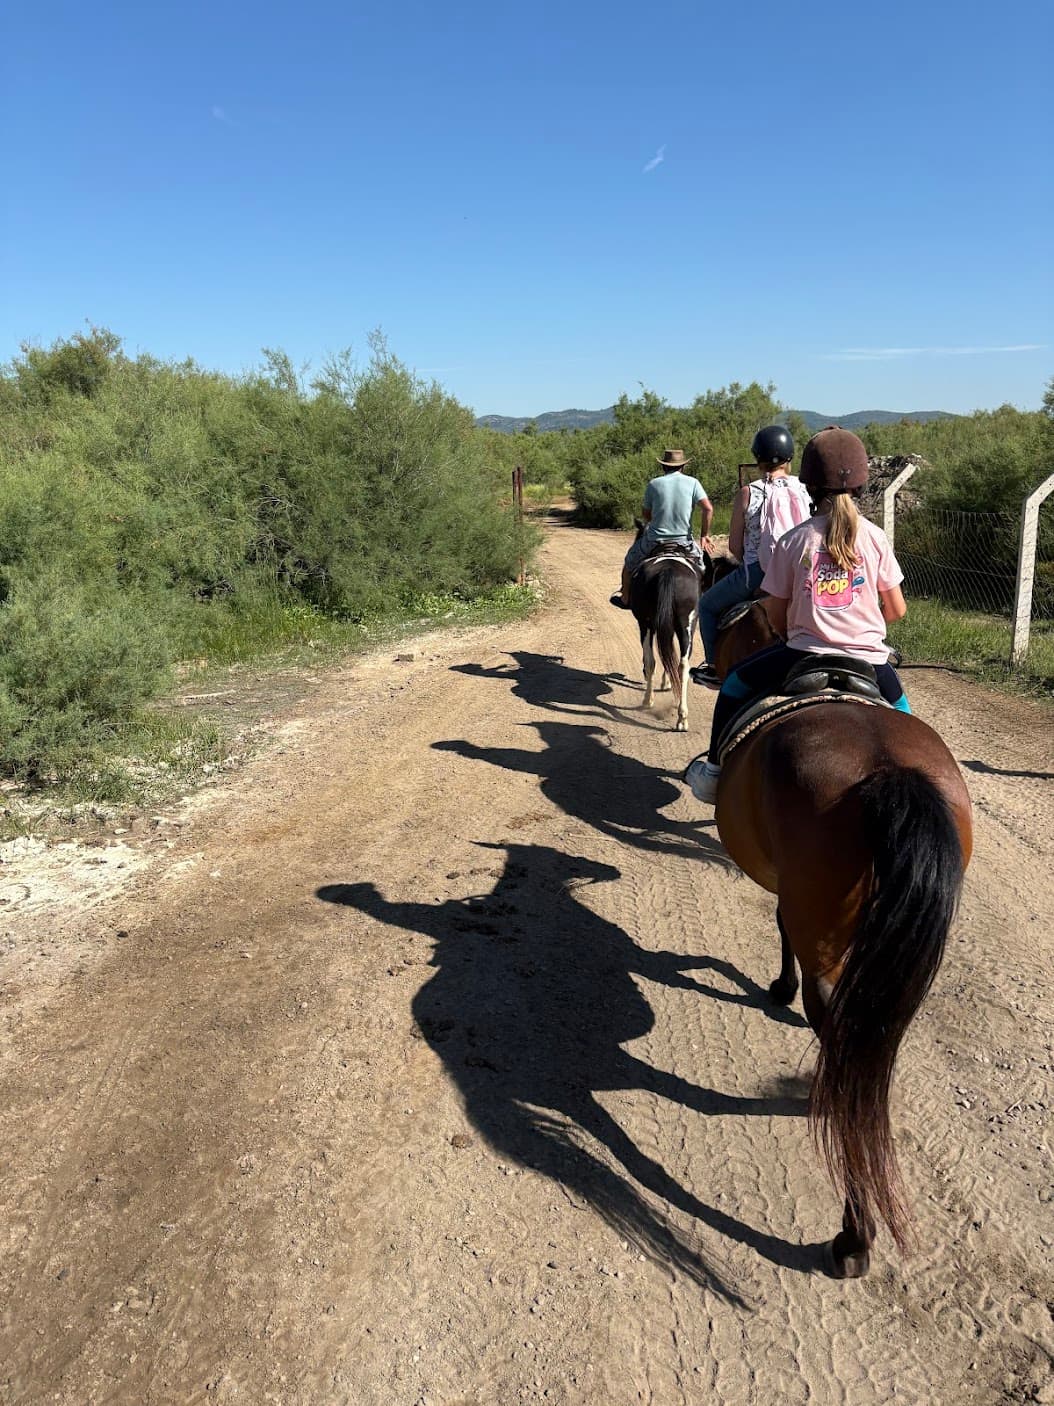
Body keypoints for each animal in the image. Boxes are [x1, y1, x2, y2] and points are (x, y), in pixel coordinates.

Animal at [628, 524, 710, 732]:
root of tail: (668, 571)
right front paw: (668, 684)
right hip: (686, 625)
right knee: (682, 664)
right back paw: (681, 716)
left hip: (647, 623)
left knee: (652, 660)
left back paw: (649, 700)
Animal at [694, 611, 973, 1278]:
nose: (710, 666)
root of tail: (887, 773)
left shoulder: (787, 889)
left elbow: (777, 923)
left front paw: (779, 987)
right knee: (872, 1037)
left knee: (839, 1027)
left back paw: (853, 1236)